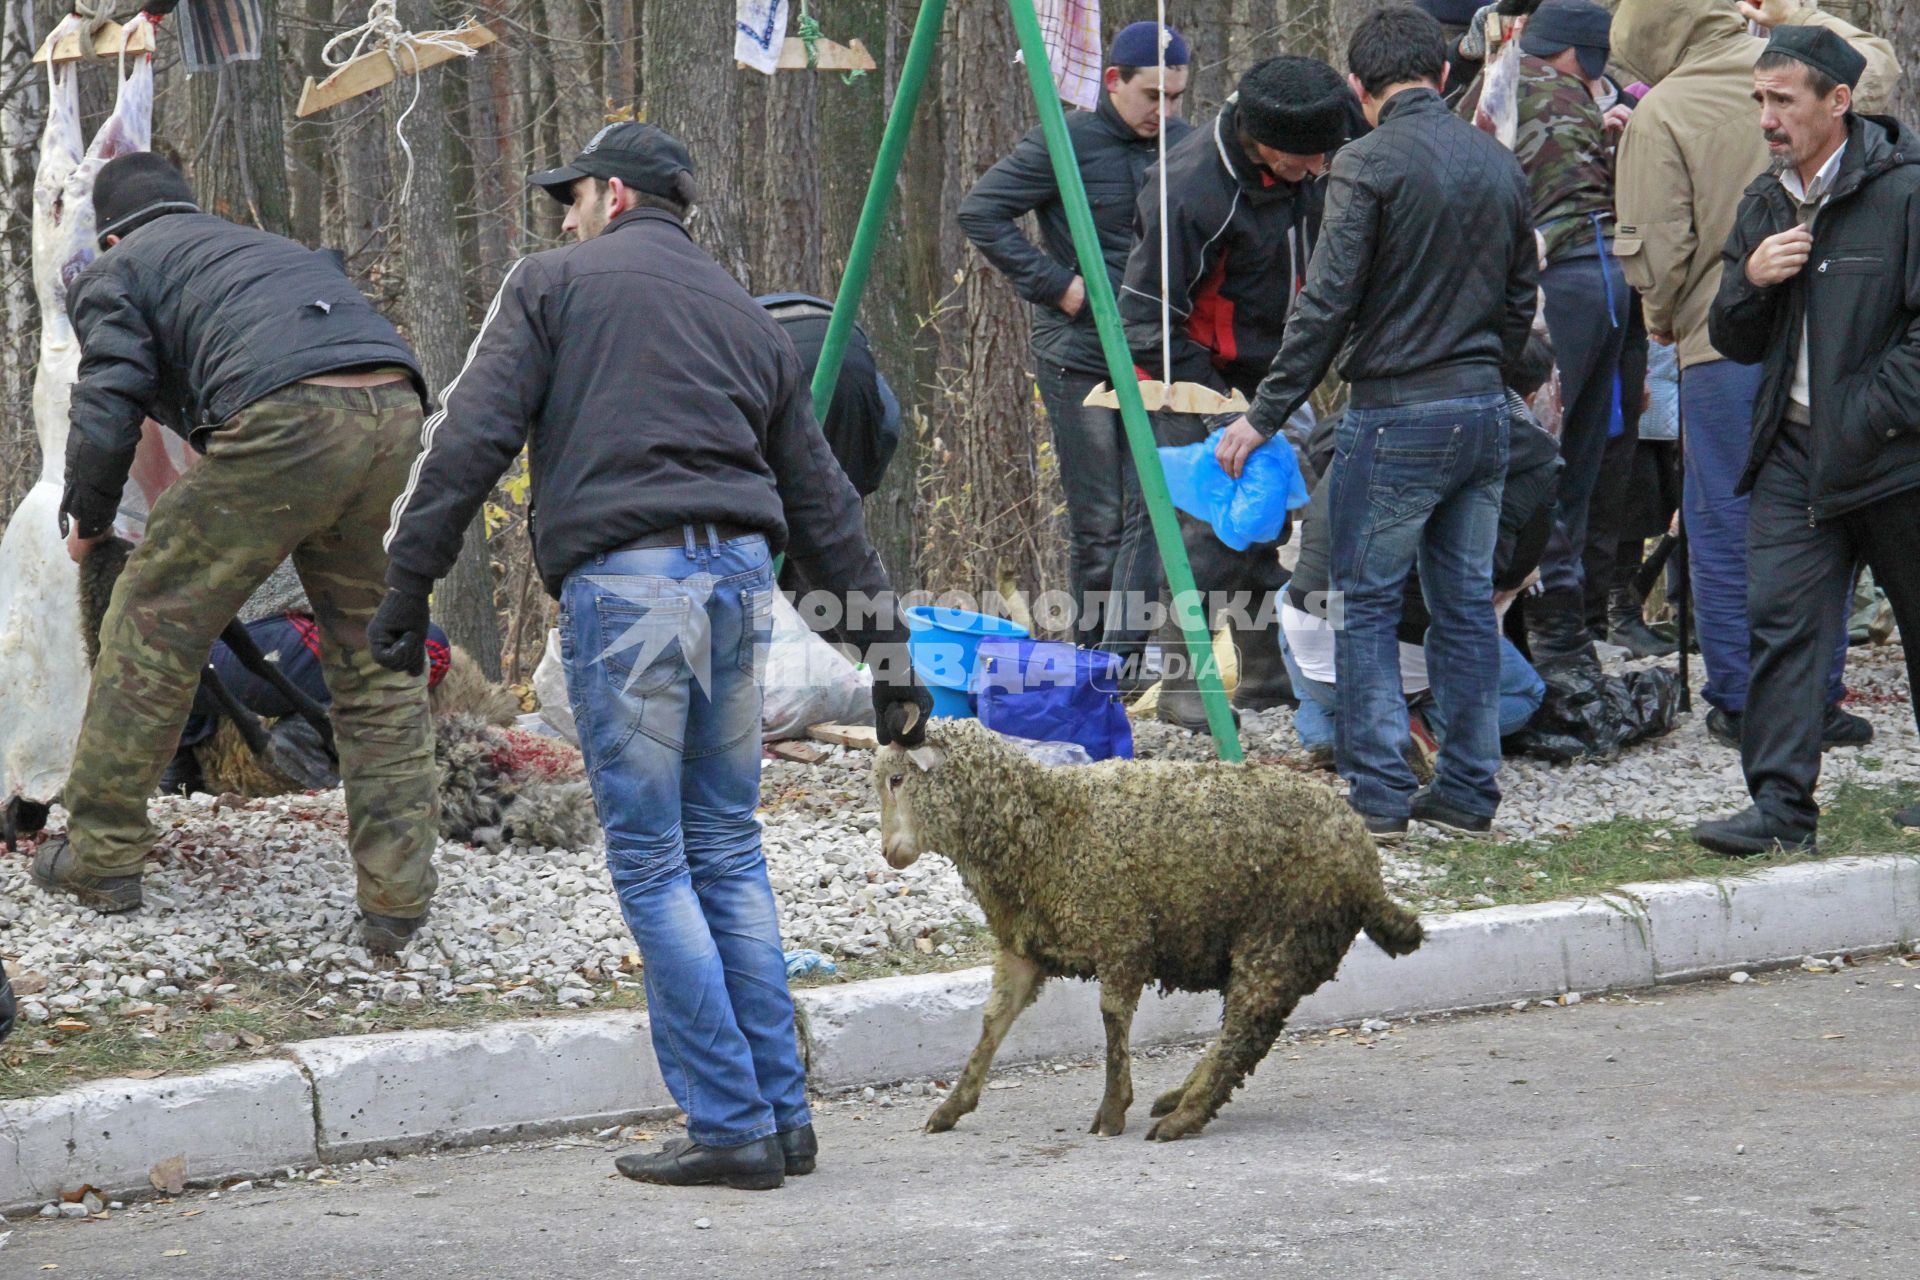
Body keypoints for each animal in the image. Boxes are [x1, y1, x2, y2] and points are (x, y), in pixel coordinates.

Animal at [879, 721, 1420, 1143]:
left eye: (898, 779)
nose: (888, 853)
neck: (1044, 826)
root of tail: (1367, 869)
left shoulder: (1122, 936)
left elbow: (1112, 1019)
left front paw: (1113, 1110)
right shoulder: (1023, 948)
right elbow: (994, 1021)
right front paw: (951, 1107)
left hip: (1280, 937)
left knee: (1245, 1034)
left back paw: (1183, 1117)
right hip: (1280, 945)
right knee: (1244, 1031)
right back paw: (1179, 1098)